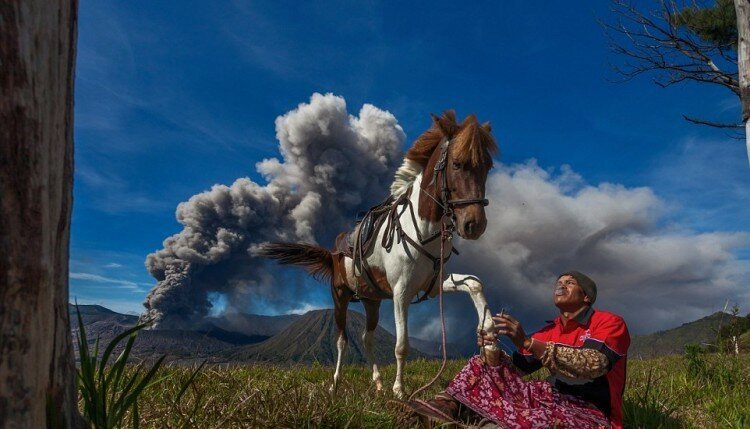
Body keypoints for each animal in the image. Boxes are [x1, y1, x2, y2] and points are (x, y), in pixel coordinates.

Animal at [262, 110, 502, 398]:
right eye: (457, 164)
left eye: (487, 167)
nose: (474, 225)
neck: (421, 230)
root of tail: (333, 253)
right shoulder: (401, 292)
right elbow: (402, 345)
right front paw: (399, 390)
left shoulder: (433, 286)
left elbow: (475, 283)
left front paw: (489, 340)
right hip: (340, 297)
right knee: (342, 340)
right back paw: (335, 383)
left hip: (372, 301)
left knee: (366, 338)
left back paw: (376, 381)